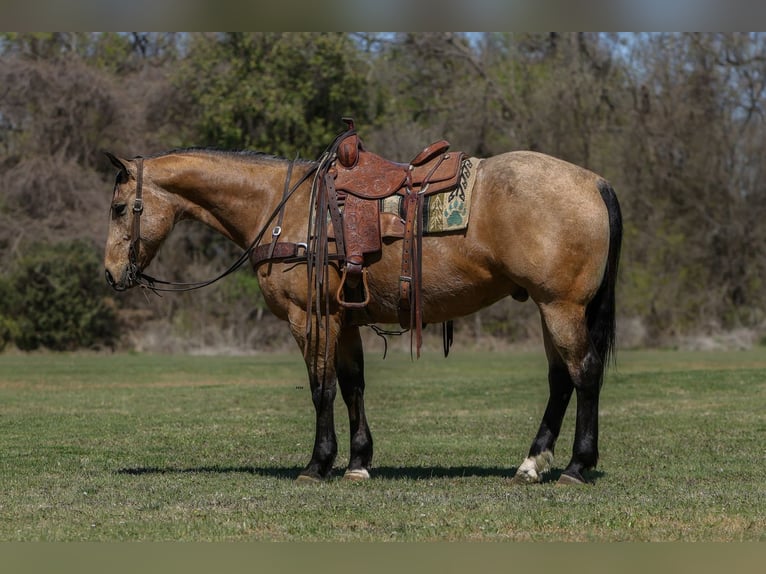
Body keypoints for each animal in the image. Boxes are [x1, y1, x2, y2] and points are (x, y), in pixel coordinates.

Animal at [103, 139, 622, 486]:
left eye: (119, 207)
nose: (110, 273)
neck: (283, 209)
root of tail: (595, 181)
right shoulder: (345, 321)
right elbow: (353, 387)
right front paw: (357, 462)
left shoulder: (310, 319)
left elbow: (322, 389)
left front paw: (317, 464)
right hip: (549, 307)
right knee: (560, 380)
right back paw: (532, 464)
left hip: (561, 307)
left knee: (584, 374)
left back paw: (577, 466)